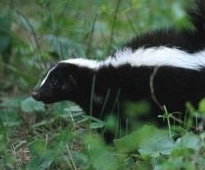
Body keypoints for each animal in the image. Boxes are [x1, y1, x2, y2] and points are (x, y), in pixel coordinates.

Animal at [32, 0, 205, 141]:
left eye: (55, 83)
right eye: (45, 78)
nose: (35, 94)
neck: (97, 77)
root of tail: (197, 45)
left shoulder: (121, 98)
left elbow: (122, 124)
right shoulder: (99, 105)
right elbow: (105, 124)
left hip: (188, 93)